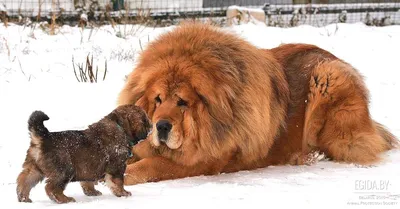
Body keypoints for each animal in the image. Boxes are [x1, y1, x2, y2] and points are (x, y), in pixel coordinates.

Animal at [16, 104, 152, 204]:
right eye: (145, 119)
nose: (151, 126)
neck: (121, 127)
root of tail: (42, 138)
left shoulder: (89, 168)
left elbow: (88, 182)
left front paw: (92, 192)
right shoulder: (117, 166)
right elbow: (118, 182)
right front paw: (123, 193)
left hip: (34, 169)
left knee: (24, 181)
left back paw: (24, 198)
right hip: (65, 170)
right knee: (51, 188)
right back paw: (64, 199)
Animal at [118, 22, 396, 185]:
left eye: (183, 102)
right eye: (158, 99)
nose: (161, 126)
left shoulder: (202, 160)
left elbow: (152, 164)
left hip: (328, 78)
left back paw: (308, 155)